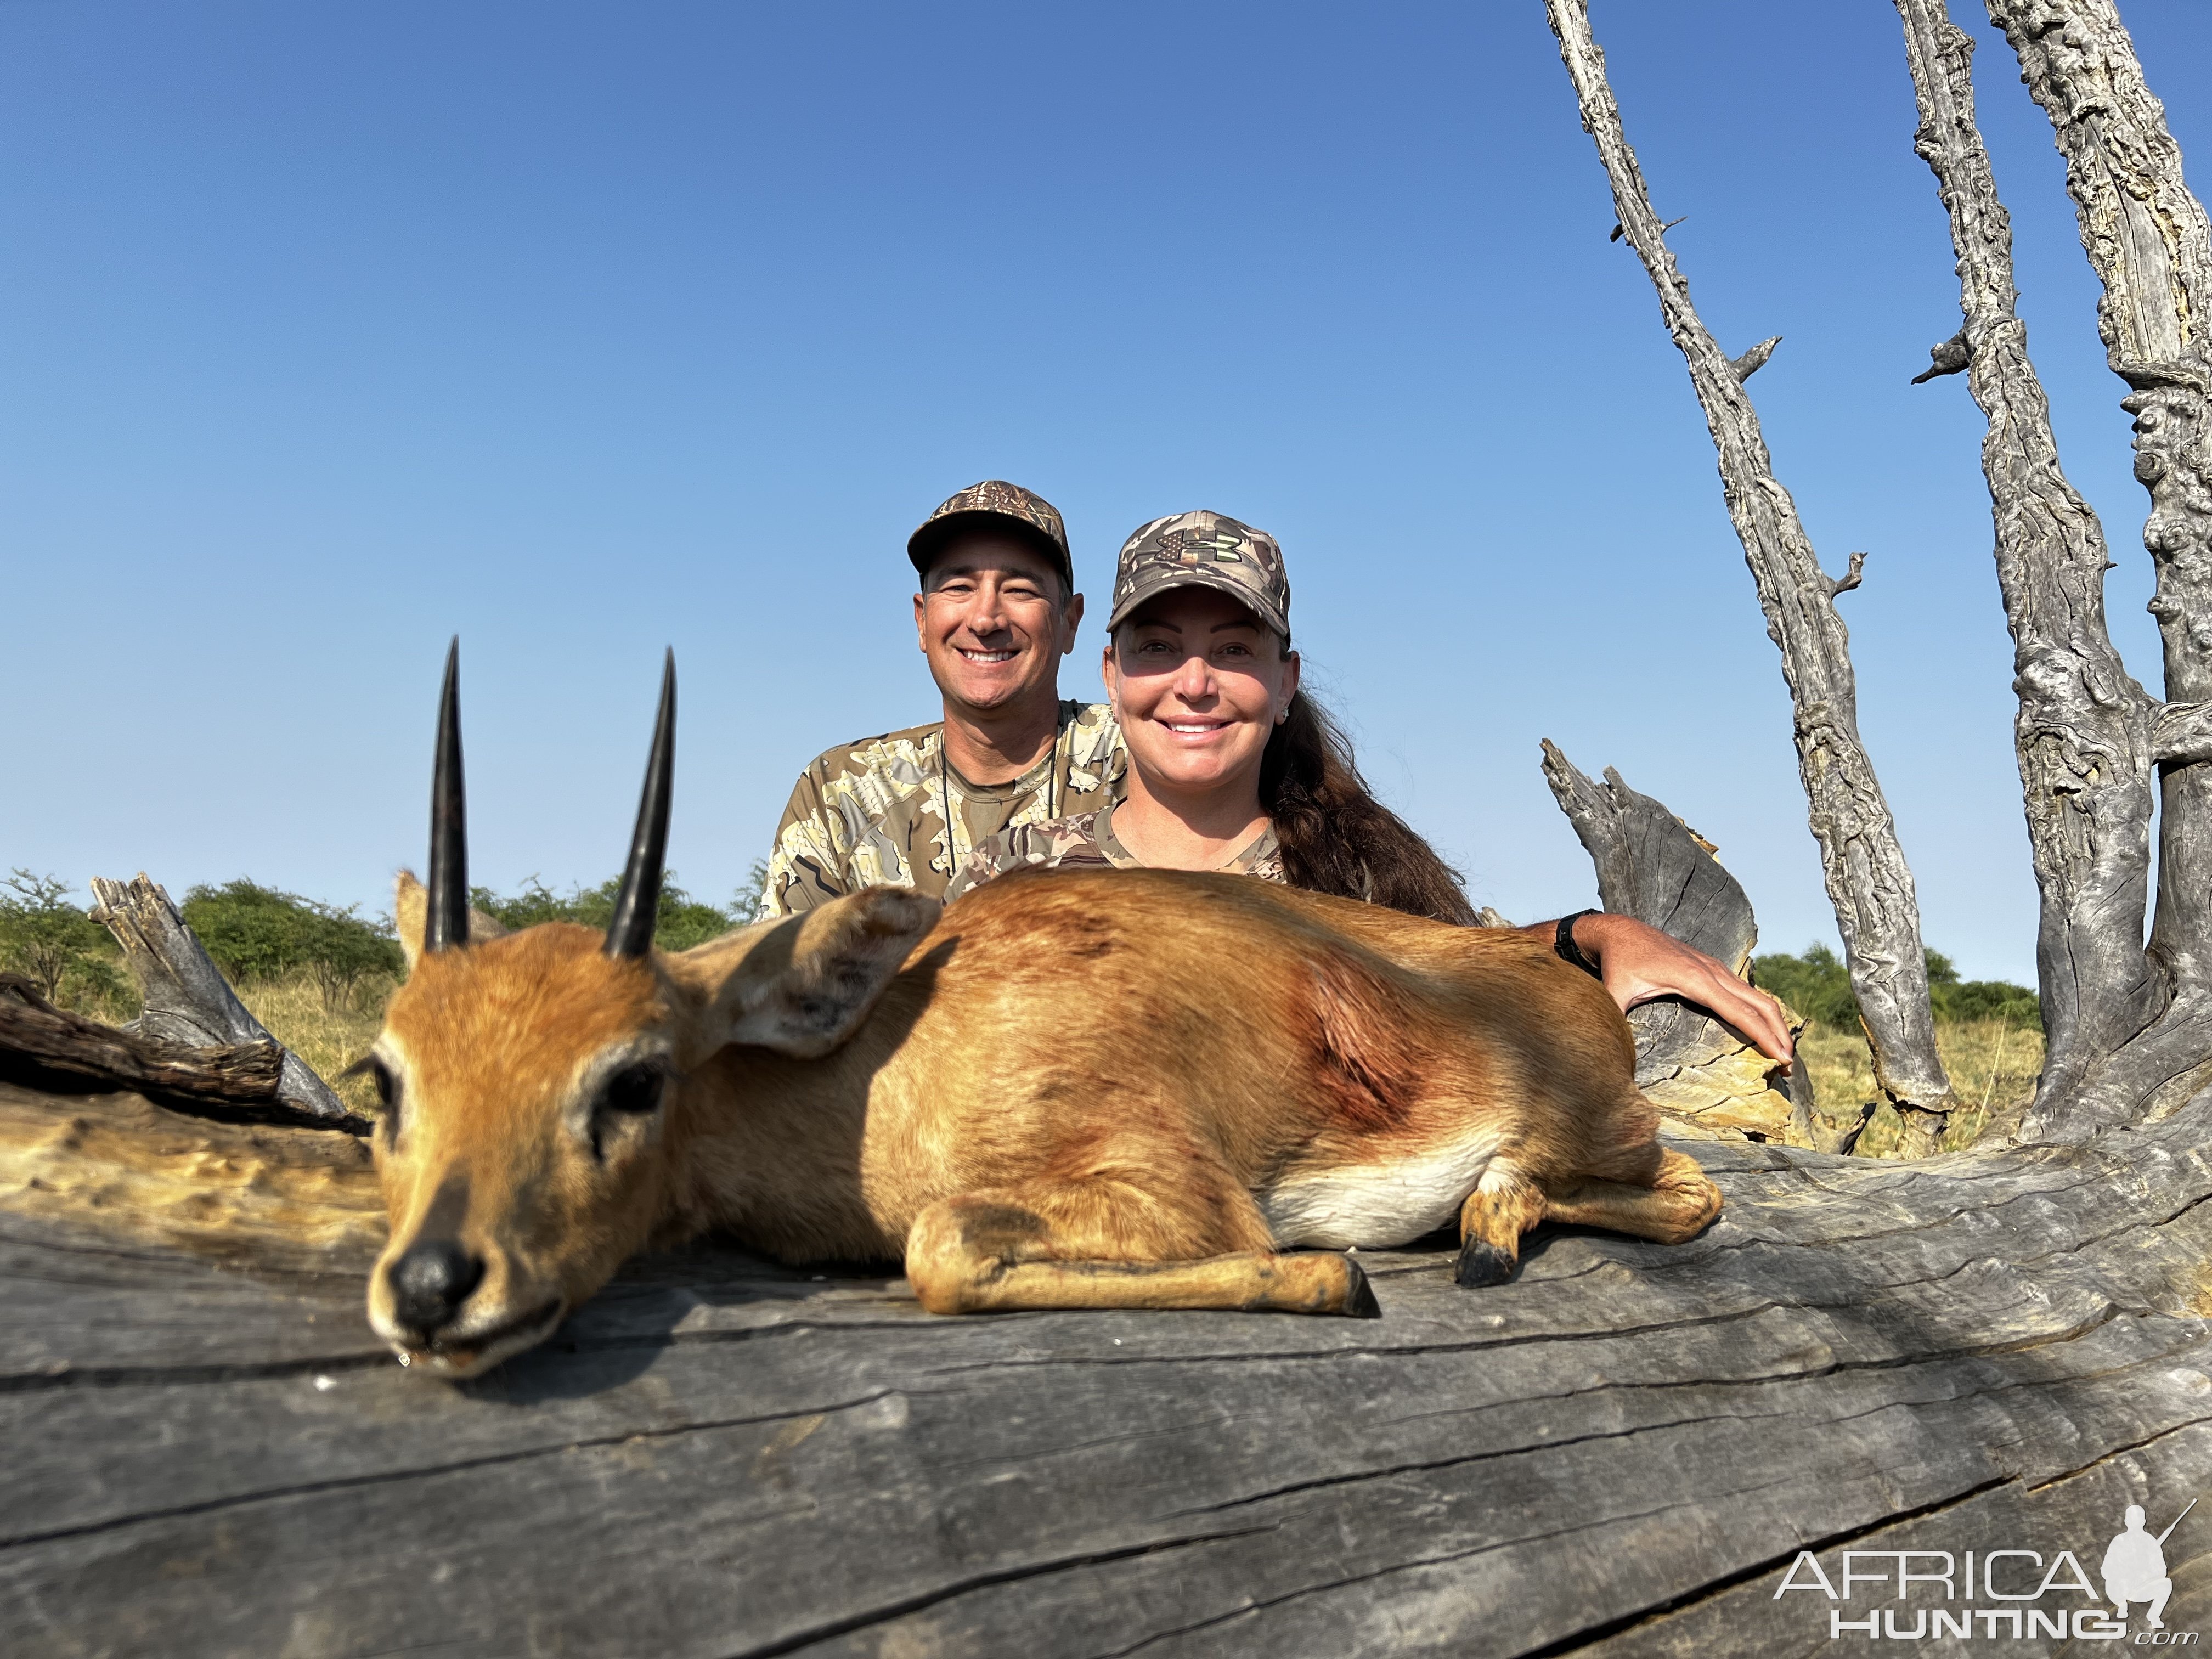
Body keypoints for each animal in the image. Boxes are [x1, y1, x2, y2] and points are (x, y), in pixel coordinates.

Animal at [363, 650, 1716, 1380]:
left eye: (634, 1075)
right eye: (388, 1074)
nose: (430, 1287)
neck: (889, 1065)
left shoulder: (1173, 1194)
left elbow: (941, 1247)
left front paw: (1333, 1275)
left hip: (1605, 1135)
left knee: (1695, 1192)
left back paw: (1487, 1226)